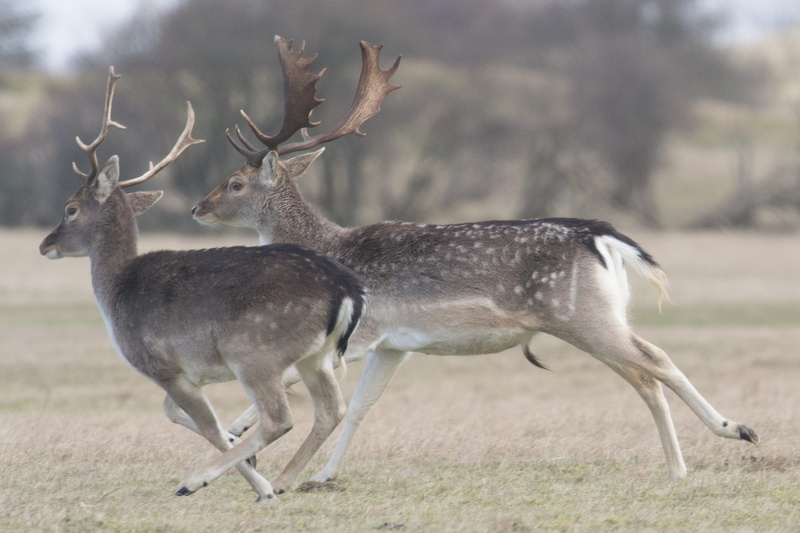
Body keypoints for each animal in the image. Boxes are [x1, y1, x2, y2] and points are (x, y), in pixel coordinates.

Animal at [39, 67, 366, 500]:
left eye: (70, 209)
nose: (45, 244)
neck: (118, 292)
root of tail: (348, 292)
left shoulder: (161, 364)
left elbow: (204, 423)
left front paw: (254, 482)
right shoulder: (189, 373)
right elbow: (176, 414)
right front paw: (247, 461)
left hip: (253, 351)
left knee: (279, 417)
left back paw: (199, 481)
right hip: (316, 356)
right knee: (330, 408)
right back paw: (278, 480)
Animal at [192, 36, 758, 489]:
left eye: (235, 183)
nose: (199, 207)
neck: (327, 245)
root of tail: (601, 236)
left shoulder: (364, 331)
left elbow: (296, 380)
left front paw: (239, 433)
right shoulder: (394, 344)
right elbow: (360, 407)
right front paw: (324, 475)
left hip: (580, 316)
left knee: (654, 362)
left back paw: (732, 432)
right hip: (605, 313)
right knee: (646, 371)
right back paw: (682, 465)